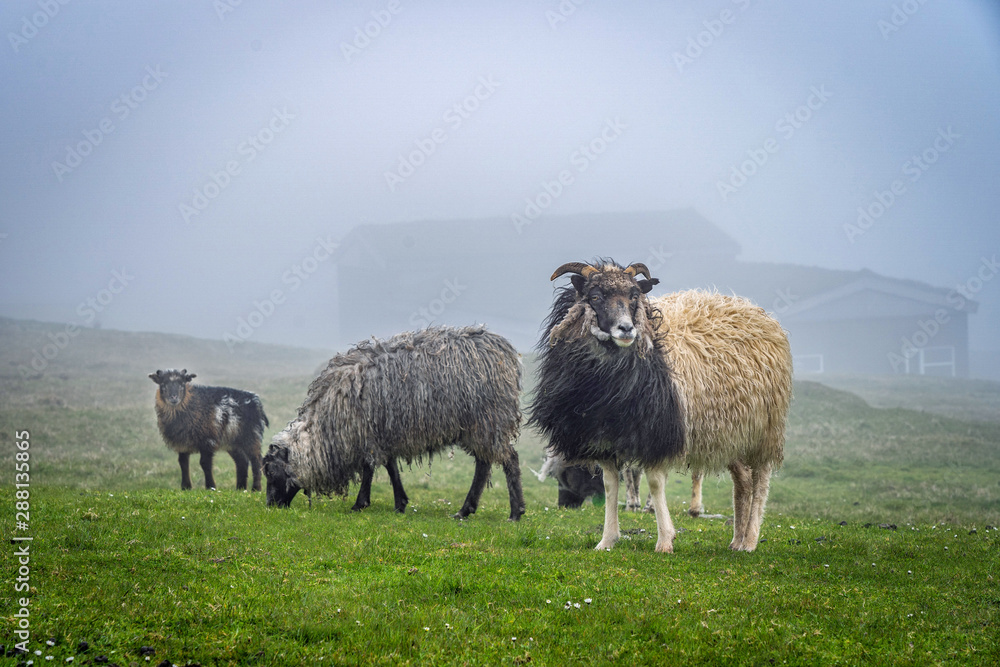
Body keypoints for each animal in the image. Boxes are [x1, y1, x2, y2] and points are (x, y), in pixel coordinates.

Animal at [262, 325, 526, 521]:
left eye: (272, 472)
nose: (270, 505)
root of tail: (504, 351)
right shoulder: (382, 434)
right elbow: (390, 468)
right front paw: (400, 503)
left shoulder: (366, 433)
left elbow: (369, 469)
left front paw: (360, 504)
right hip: (480, 425)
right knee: (484, 463)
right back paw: (466, 510)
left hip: (489, 419)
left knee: (508, 459)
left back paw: (514, 513)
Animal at [527, 260, 792, 553]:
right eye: (594, 297)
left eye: (634, 296)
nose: (626, 329)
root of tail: (755, 311)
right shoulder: (604, 438)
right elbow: (610, 486)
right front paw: (607, 540)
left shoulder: (657, 432)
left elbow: (655, 484)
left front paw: (665, 540)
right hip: (729, 431)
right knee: (743, 480)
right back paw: (736, 540)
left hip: (765, 429)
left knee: (762, 481)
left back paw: (751, 540)